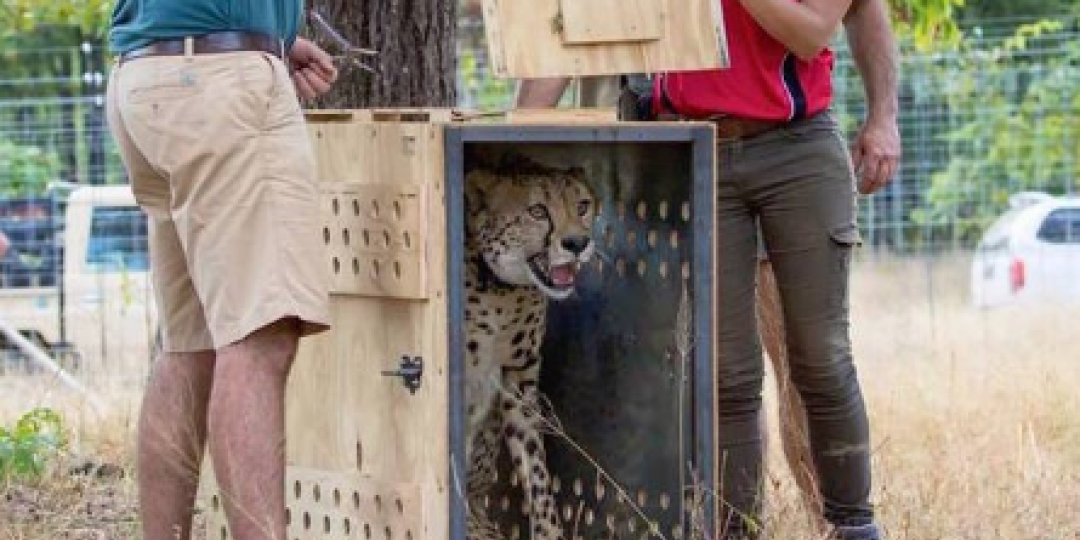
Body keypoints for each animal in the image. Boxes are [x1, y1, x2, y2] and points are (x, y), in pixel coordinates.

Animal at [464, 160, 600, 540]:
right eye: (537, 211)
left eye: (582, 205)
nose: (577, 243)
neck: (500, 289)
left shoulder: (518, 381)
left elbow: (535, 468)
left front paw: (549, 531)